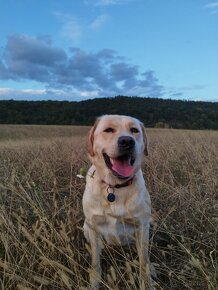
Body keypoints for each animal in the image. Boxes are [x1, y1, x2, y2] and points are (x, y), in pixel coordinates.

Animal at [83, 114, 153, 288]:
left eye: (134, 130)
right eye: (108, 130)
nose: (127, 141)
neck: (115, 186)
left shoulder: (142, 226)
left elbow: (143, 261)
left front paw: (146, 283)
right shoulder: (93, 226)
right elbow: (96, 261)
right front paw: (94, 282)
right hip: (85, 227)